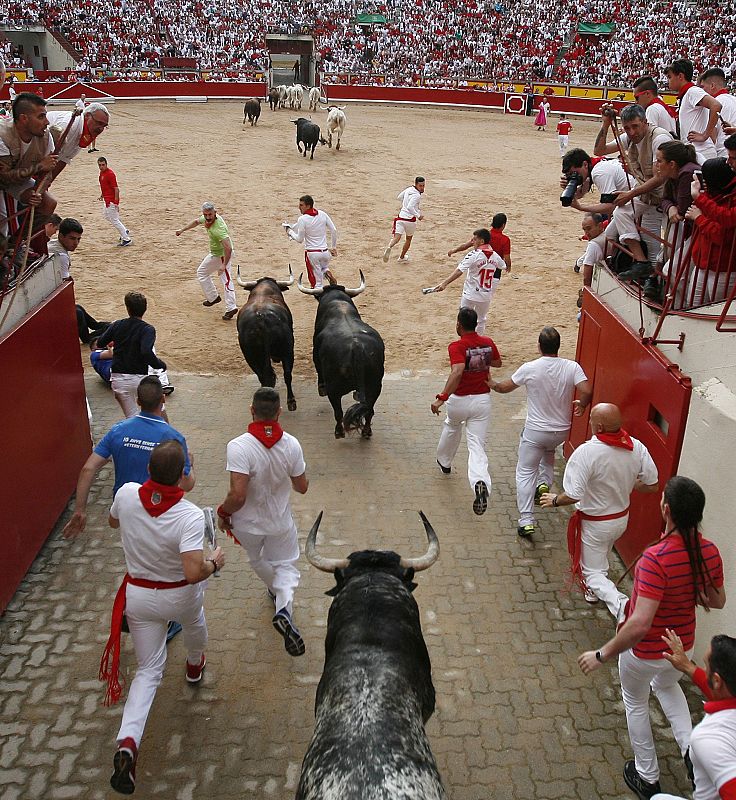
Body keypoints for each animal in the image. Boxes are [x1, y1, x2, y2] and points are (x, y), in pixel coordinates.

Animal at [234, 266, 294, 410]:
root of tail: (261, 319)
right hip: (287, 349)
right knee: (287, 374)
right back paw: (291, 402)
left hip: (250, 355)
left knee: (262, 376)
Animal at [296, 272, 386, 440]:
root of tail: (356, 347)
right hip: (375, 385)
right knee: (369, 410)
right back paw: (366, 431)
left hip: (335, 388)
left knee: (338, 412)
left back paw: (339, 432)